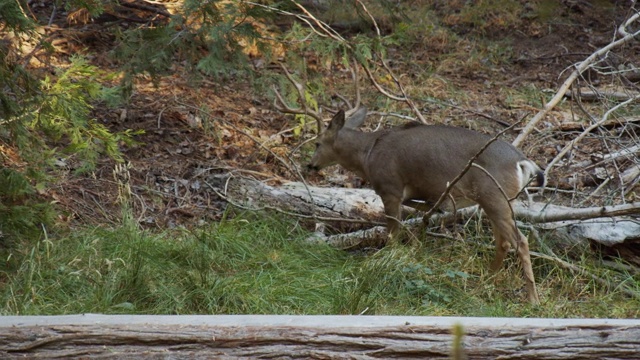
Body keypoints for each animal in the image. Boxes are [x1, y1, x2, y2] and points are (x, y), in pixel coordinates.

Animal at [276, 67, 544, 304]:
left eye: (318, 143)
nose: (310, 165)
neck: (368, 154)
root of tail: (523, 162)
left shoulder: (390, 187)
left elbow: (392, 232)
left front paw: (387, 261)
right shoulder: (407, 192)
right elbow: (413, 215)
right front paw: (419, 240)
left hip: (494, 196)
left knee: (520, 241)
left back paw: (532, 299)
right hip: (500, 200)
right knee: (504, 242)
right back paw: (486, 280)